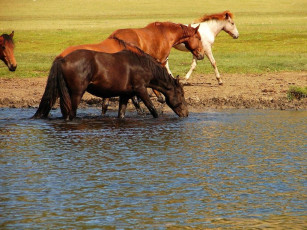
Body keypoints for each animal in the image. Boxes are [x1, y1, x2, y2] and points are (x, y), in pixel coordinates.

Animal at [32, 48, 189, 120]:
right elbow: (153, 109)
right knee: (71, 114)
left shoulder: (125, 95)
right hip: (76, 94)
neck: (142, 66)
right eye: (181, 93)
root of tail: (63, 60)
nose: (186, 114)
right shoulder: (141, 90)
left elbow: (121, 114)